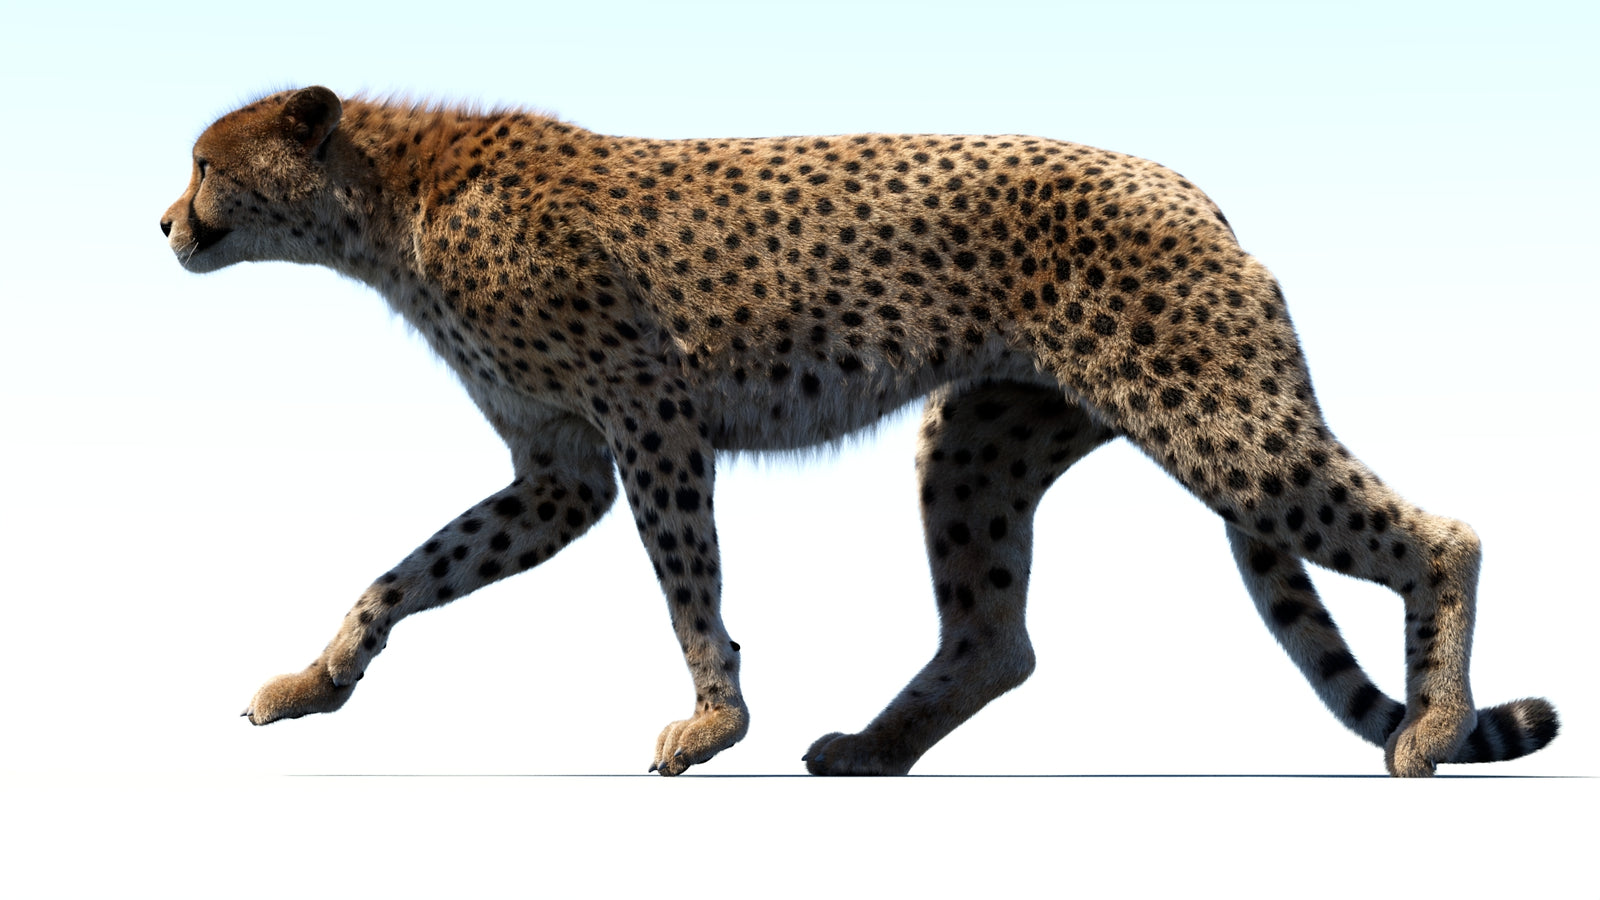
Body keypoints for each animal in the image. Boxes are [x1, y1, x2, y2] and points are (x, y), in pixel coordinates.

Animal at [161, 86, 1558, 776]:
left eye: (205, 164)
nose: (165, 222)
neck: (384, 202)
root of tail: (1182, 184)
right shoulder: (560, 470)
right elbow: (406, 573)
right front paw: (315, 681)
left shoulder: (651, 419)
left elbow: (686, 583)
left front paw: (712, 724)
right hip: (982, 441)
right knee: (994, 638)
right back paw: (875, 748)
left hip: (1211, 412)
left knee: (1444, 535)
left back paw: (1434, 729)